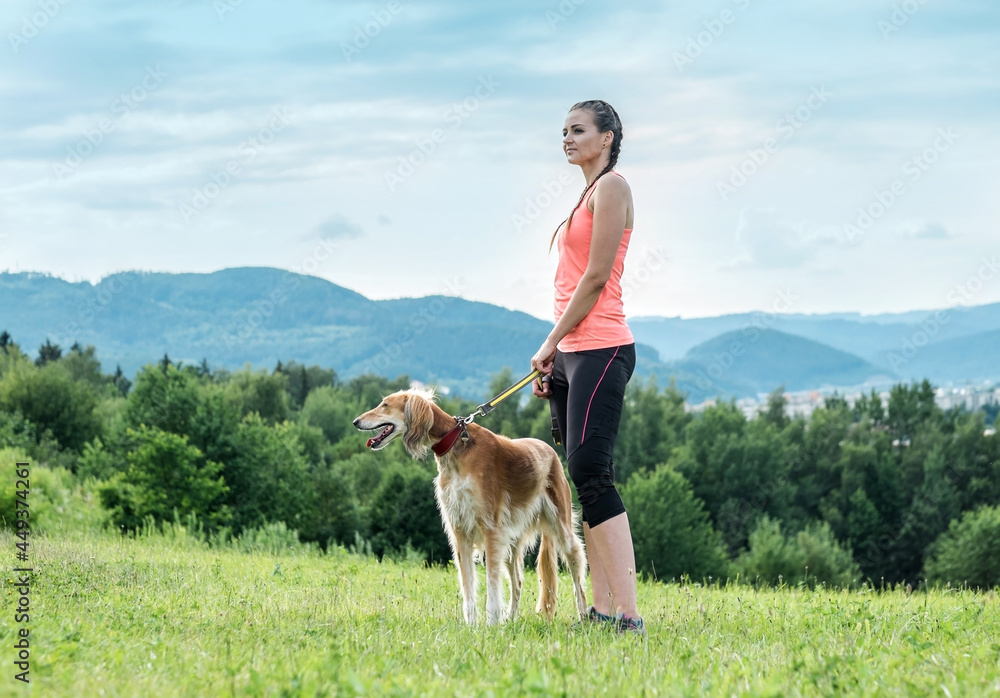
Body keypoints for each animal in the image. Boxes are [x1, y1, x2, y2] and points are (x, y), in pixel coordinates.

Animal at [354, 386, 588, 624]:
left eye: (384, 405)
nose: (356, 421)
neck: (457, 447)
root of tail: (549, 449)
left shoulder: (490, 528)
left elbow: (492, 588)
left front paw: (491, 624)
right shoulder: (459, 530)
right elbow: (468, 586)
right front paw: (471, 625)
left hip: (561, 526)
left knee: (577, 571)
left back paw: (584, 616)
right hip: (511, 541)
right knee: (518, 582)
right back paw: (510, 619)